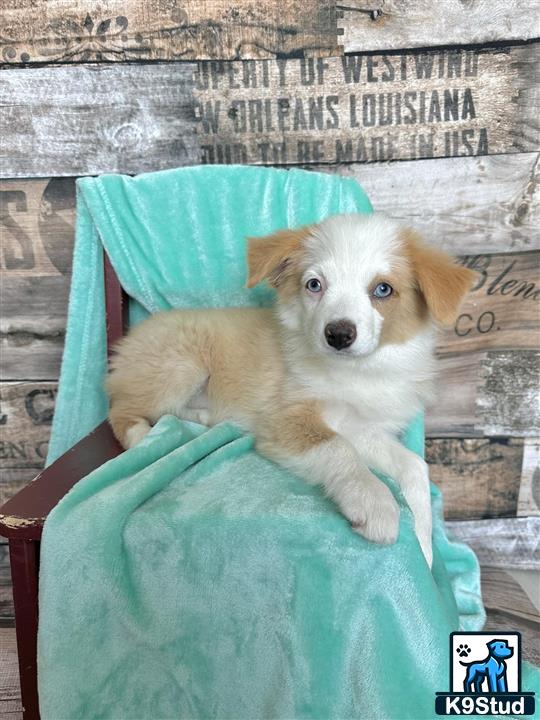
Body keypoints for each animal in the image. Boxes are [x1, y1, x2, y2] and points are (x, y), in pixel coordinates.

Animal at [106, 211, 476, 564]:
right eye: (314, 284)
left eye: (382, 290)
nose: (338, 335)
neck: (358, 372)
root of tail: (129, 339)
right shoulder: (285, 419)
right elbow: (338, 448)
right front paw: (375, 503)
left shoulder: (362, 427)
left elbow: (414, 466)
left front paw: (426, 549)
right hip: (179, 365)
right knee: (120, 409)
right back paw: (146, 439)